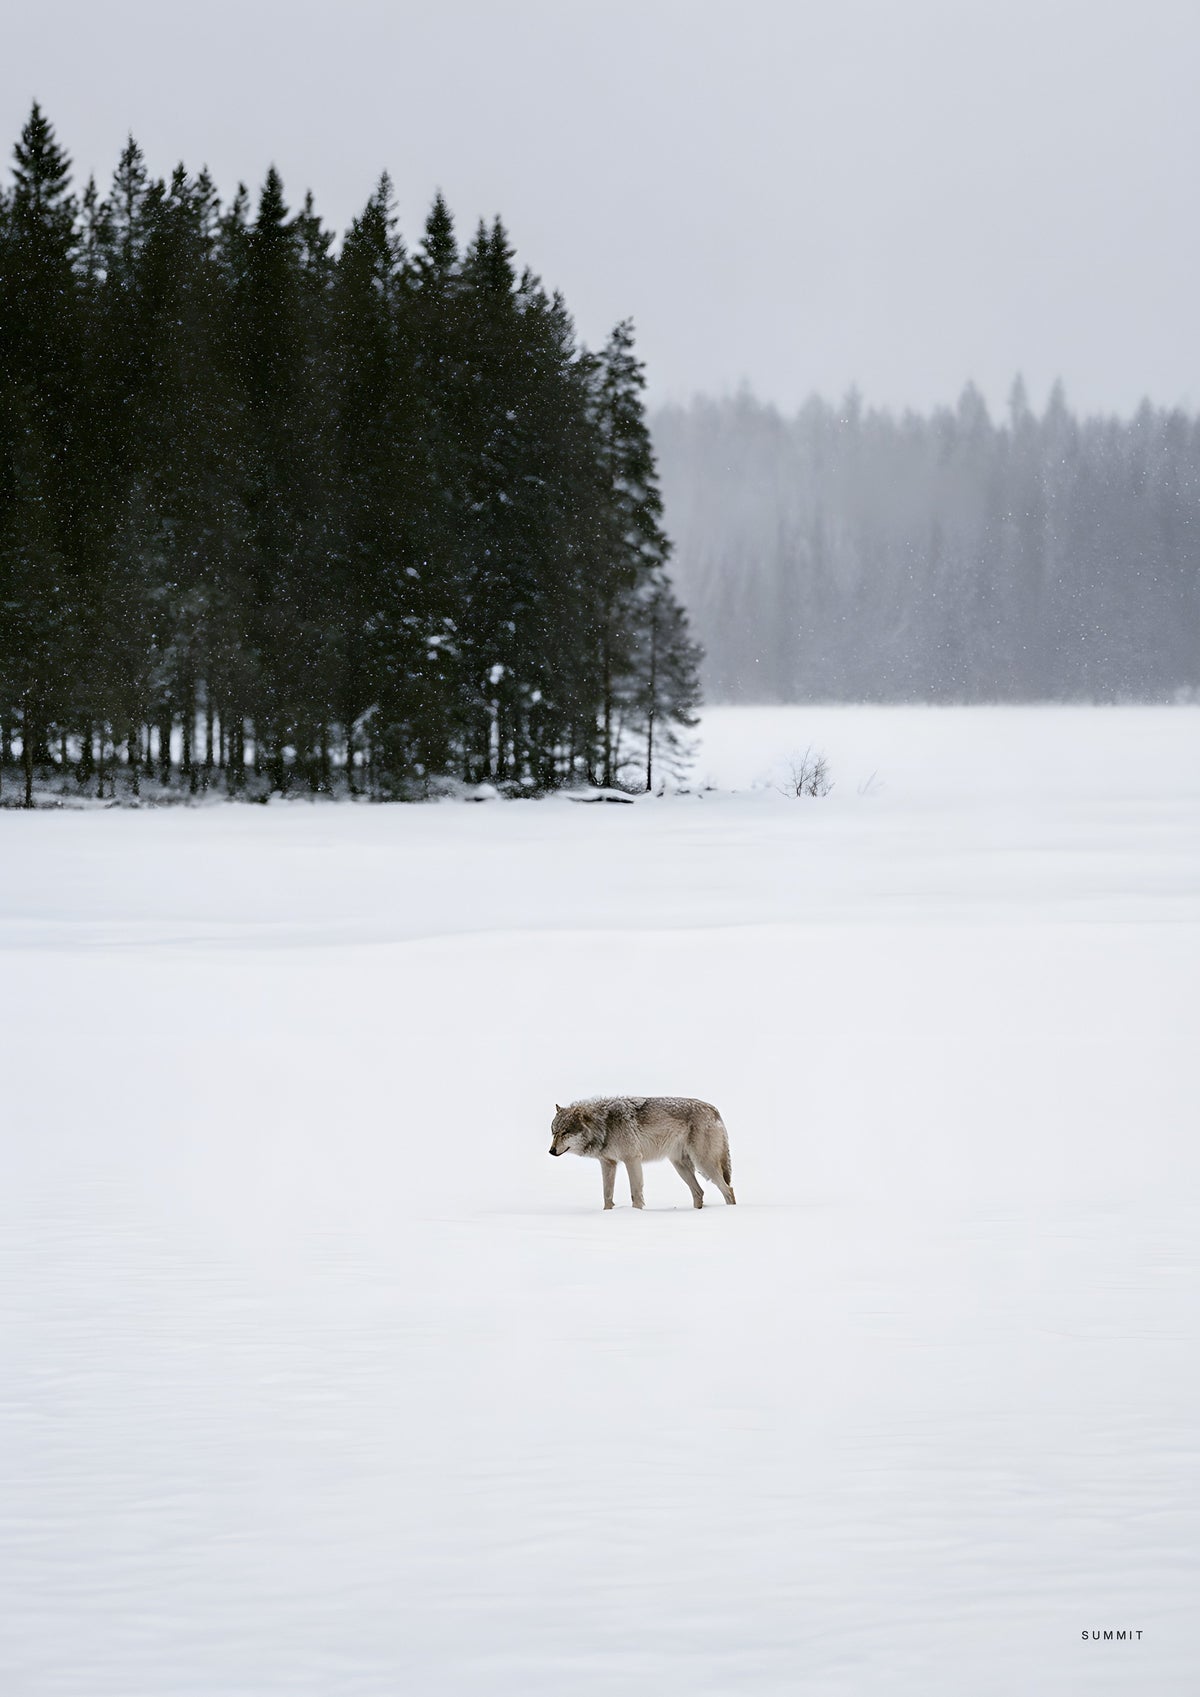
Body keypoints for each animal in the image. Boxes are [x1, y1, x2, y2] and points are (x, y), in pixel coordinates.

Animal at [549, 1097, 736, 1210]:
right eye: (554, 1133)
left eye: (565, 1132)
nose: (551, 1151)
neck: (604, 1125)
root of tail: (714, 1109)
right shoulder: (608, 1163)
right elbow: (607, 1195)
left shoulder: (632, 1159)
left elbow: (635, 1193)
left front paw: (636, 1214)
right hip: (681, 1166)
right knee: (699, 1192)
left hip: (704, 1164)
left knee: (728, 1189)